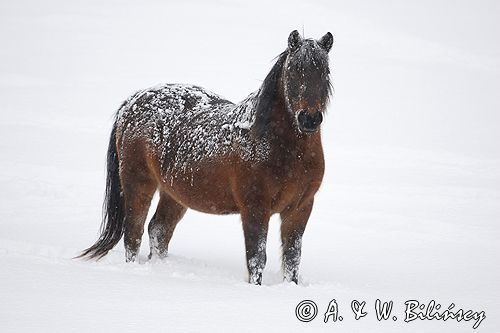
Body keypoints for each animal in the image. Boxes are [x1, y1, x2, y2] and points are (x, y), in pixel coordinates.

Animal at [78, 29, 334, 282]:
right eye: (293, 71)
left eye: (326, 72)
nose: (309, 119)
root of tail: (132, 102)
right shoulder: (255, 208)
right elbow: (256, 259)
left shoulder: (299, 209)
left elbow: (292, 260)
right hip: (138, 184)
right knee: (134, 233)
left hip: (174, 194)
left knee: (158, 231)